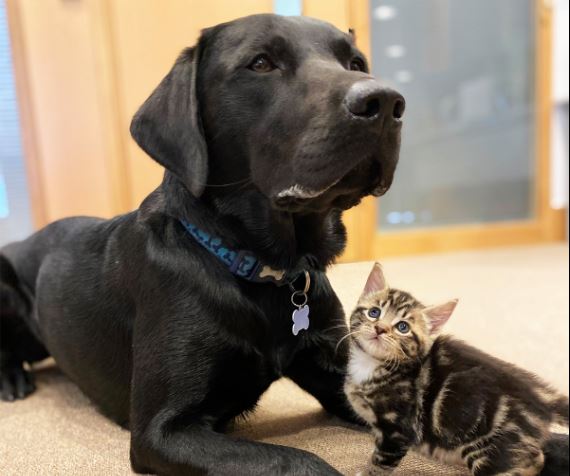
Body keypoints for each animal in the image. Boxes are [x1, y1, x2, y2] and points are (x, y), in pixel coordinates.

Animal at [342, 262, 568, 474]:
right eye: (374, 312)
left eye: (402, 327)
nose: (380, 328)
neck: (371, 365)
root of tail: (542, 398)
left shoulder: (397, 431)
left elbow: (381, 462)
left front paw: (368, 472)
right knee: (536, 458)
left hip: (489, 450)